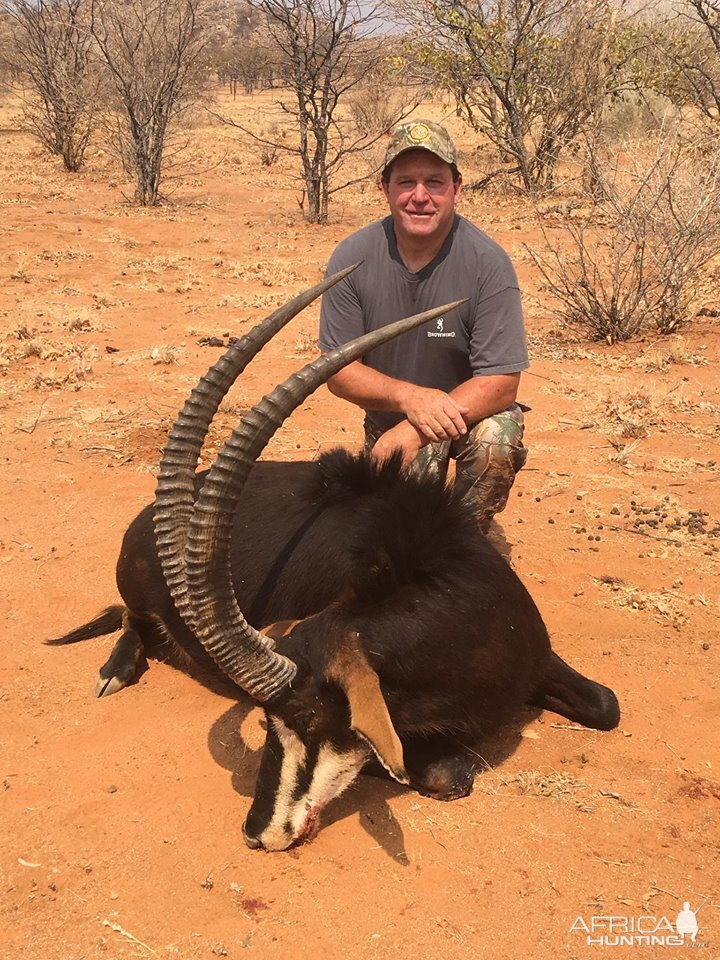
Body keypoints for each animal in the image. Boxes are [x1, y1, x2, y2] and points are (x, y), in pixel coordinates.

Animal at [50, 266, 620, 852]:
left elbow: (607, 706)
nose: (257, 833)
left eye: (304, 717)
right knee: (132, 618)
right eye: (264, 721)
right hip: (138, 588)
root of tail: (149, 515)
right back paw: (116, 671)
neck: (464, 619)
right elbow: (449, 771)